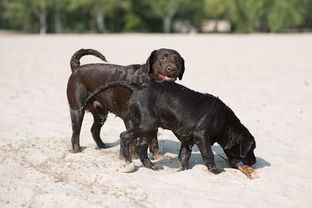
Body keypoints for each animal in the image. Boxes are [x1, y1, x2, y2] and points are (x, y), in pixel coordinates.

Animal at [84, 81, 256, 174]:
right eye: (251, 149)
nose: (254, 161)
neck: (224, 122)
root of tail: (136, 88)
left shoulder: (188, 140)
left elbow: (184, 157)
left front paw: (181, 171)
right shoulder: (202, 137)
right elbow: (208, 155)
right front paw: (216, 171)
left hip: (147, 128)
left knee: (140, 148)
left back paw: (152, 166)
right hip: (146, 125)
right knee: (124, 136)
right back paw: (127, 162)